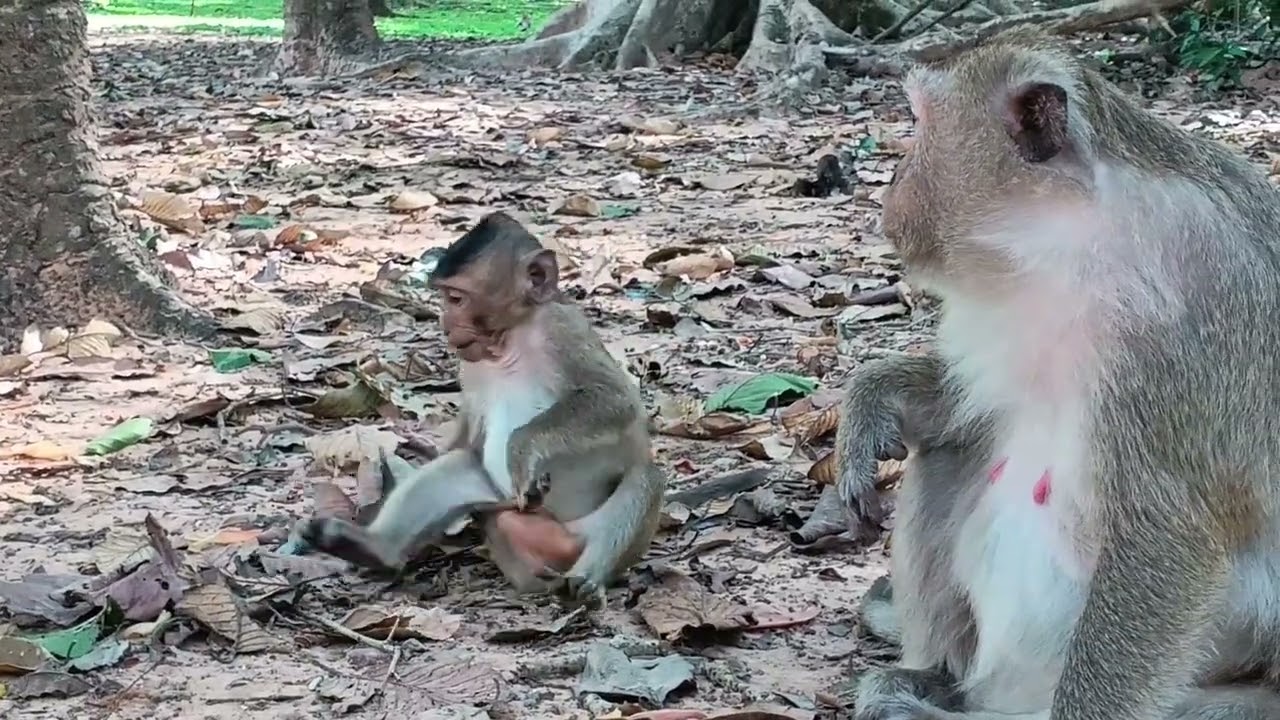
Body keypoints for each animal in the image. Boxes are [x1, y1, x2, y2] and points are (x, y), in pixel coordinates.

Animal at [298, 212, 666, 607]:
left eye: (456, 298)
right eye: (444, 297)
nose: (444, 324)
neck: (510, 340)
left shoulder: (563, 331)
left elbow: (615, 399)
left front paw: (522, 448)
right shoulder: (470, 365)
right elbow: (469, 432)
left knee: (647, 476)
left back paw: (586, 578)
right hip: (499, 511)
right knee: (461, 465)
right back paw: (370, 548)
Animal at [834, 26, 1280, 720]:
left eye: (922, 123)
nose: (891, 187)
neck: (1075, 242)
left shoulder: (1195, 321)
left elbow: (1168, 530)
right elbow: (957, 406)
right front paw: (870, 404)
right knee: (948, 449)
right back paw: (935, 681)